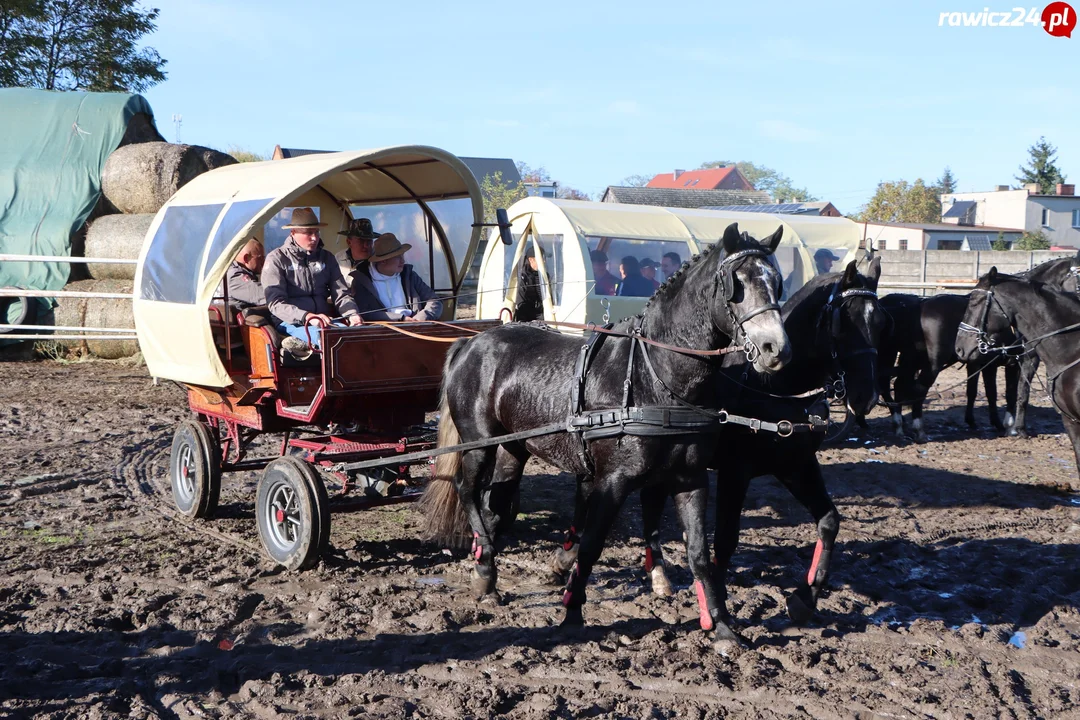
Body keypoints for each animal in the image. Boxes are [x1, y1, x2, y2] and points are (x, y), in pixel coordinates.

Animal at [425, 223, 790, 643]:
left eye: (777, 281)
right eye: (737, 284)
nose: (776, 349)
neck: (657, 379)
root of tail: (471, 342)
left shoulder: (690, 478)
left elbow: (699, 553)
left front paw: (722, 626)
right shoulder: (612, 480)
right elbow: (592, 545)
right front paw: (572, 613)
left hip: (513, 449)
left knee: (495, 505)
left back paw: (486, 573)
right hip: (479, 442)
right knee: (467, 490)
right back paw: (485, 566)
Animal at [954, 267, 1080, 492]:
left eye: (975, 302)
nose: (959, 346)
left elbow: (1018, 392)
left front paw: (1015, 427)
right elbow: (1015, 393)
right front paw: (1015, 428)